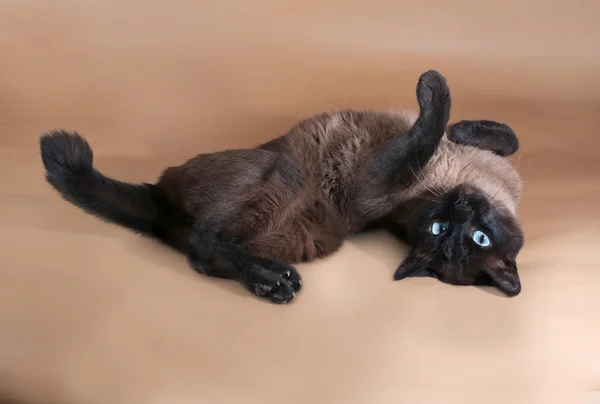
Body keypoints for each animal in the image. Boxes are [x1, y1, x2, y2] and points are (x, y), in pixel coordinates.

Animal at [39, 70, 524, 304]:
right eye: (441, 228)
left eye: (477, 238)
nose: (462, 206)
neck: (469, 179)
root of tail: (159, 203)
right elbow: (495, 135)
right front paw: (462, 124)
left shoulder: (383, 179)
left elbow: (425, 132)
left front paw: (436, 92)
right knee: (205, 245)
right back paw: (273, 281)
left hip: (289, 195)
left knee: (203, 249)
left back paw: (272, 283)